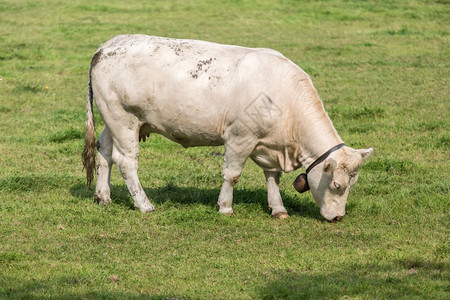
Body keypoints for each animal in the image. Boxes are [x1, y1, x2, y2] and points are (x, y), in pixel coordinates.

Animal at [83, 35, 372, 223]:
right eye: (336, 184)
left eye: (353, 184)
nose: (338, 217)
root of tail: (107, 46)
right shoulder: (239, 137)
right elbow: (232, 175)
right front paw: (225, 207)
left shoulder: (270, 144)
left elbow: (272, 177)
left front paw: (278, 208)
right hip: (124, 119)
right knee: (126, 162)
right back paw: (144, 204)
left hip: (113, 121)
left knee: (104, 152)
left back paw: (103, 196)